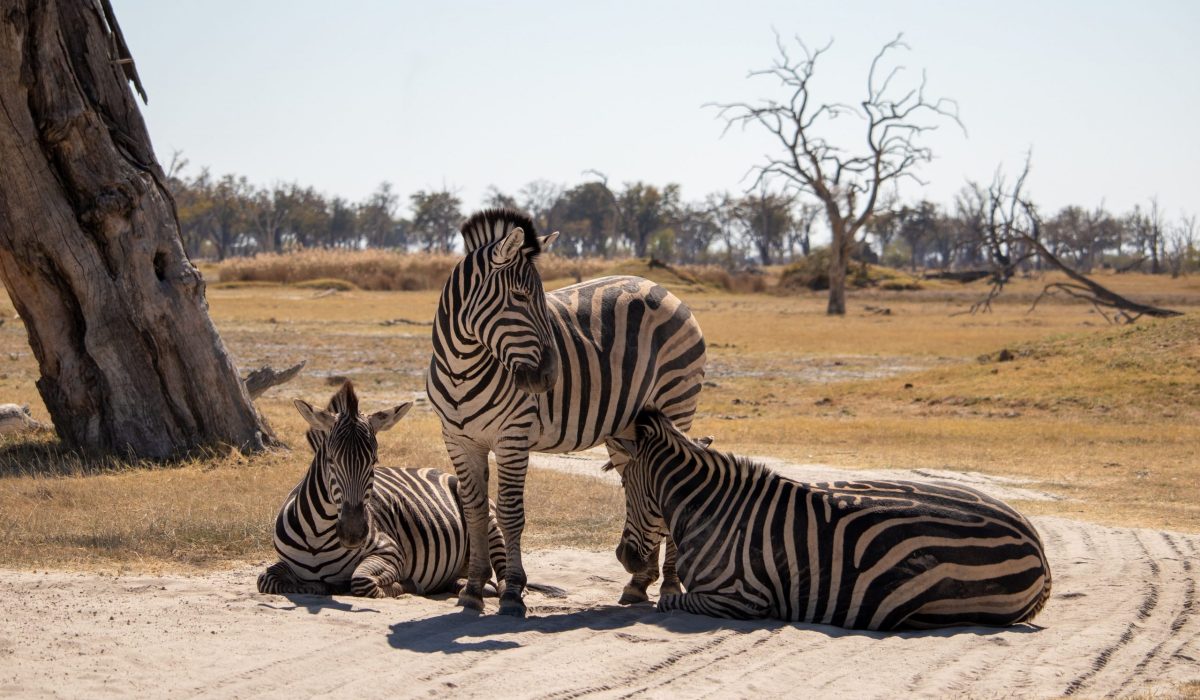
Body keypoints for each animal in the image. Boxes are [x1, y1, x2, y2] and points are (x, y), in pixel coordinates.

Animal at [257, 381, 506, 598]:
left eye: (374, 461)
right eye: (330, 460)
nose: (353, 533)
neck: (317, 536)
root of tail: (440, 471)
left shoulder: (390, 550)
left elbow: (362, 581)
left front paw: (405, 585)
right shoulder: (282, 564)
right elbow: (266, 580)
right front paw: (318, 586)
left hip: (488, 521)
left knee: (501, 573)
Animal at [427, 208, 707, 616]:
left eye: (541, 298)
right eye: (520, 296)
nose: (549, 376)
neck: (461, 366)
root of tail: (662, 288)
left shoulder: (512, 436)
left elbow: (510, 513)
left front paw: (512, 592)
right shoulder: (459, 439)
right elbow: (476, 511)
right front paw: (473, 589)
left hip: (677, 401)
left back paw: (669, 586)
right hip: (627, 427)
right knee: (640, 485)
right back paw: (638, 583)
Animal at [608, 409, 1053, 630]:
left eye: (626, 485)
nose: (622, 557)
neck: (709, 508)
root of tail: (1038, 548)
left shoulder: (739, 596)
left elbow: (668, 601)